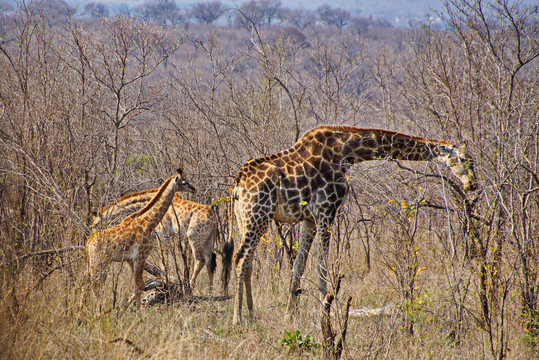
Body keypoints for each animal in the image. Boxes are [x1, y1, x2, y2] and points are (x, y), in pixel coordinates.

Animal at [229, 125, 476, 324]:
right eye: (464, 160)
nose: (472, 185)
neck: (346, 153)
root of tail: (238, 184)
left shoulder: (310, 218)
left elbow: (298, 265)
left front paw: (290, 315)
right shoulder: (327, 210)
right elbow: (322, 266)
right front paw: (326, 313)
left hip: (246, 219)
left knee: (247, 261)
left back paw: (251, 314)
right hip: (258, 216)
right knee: (239, 258)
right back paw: (237, 319)